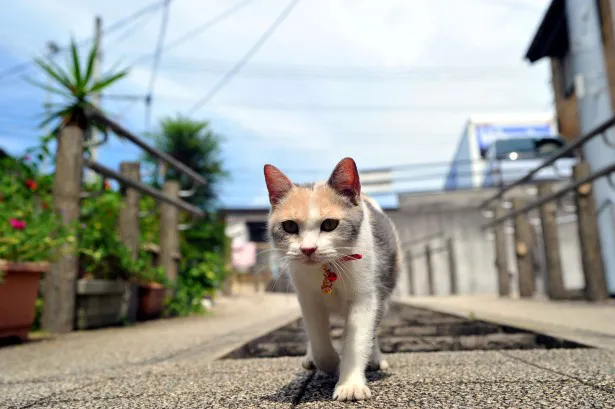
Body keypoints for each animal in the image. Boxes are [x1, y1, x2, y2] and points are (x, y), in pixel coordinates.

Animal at [262, 156, 402, 402]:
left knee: (374, 327)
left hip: (384, 288)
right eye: (289, 226)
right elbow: (319, 340)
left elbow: (358, 339)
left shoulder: (365, 297)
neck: (326, 268)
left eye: (329, 224)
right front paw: (330, 363)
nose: (308, 249)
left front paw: (350, 384)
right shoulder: (307, 298)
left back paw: (375, 358)